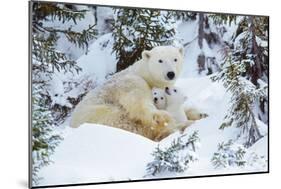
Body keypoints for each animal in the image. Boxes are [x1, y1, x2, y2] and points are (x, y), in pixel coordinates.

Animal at [70, 45, 200, 140]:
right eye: (160, 60)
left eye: (175, 59)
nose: (170, 73)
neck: (144, 75)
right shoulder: (130, 82)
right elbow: (138, 102)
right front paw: (162, 117)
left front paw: (199, 113)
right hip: (106, 115)